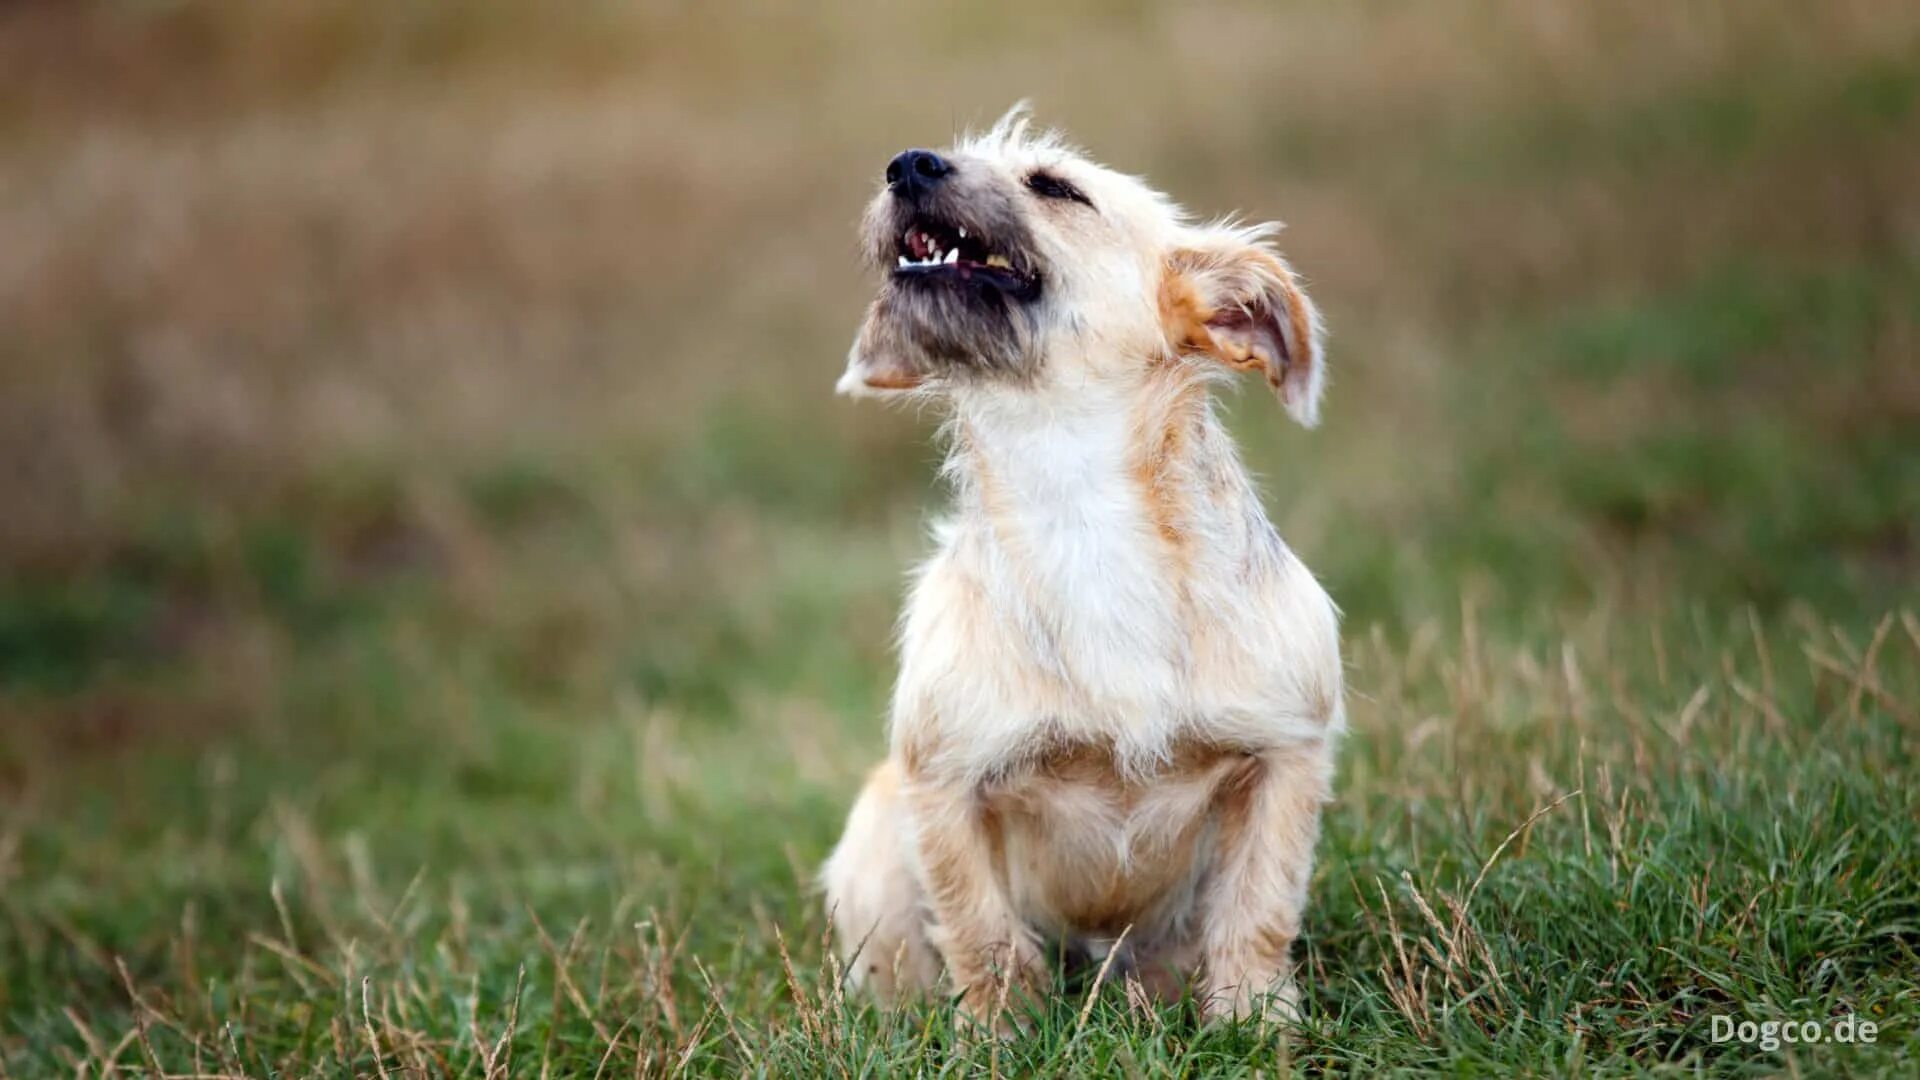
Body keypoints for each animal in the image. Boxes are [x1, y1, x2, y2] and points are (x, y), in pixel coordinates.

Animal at [817, 107, 1344, 1022]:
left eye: (1056, 187)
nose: (907, 165)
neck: (1073, 495)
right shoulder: (943, 785)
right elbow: (984, 940)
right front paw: (994, 1039)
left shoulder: (1286, 755)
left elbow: (1257, 915)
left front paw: (1256, 1026)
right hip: (873, 846)